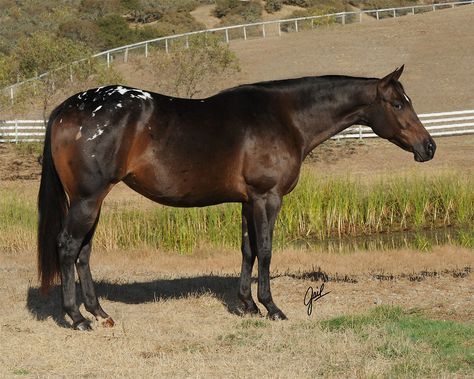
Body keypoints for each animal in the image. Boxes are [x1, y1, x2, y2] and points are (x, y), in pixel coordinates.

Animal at [38, 65, 436, 330]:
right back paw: (76, 317)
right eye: (398, 104)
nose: (429, 147)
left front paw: (246, 305)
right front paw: (271, 308)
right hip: (88, 199)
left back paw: (99, 313)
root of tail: (65, 110)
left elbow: (248, 250)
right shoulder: (267, 198)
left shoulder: (248, 201)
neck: (285, 117)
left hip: (93, 201)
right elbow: (266, 250)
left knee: (84, 252)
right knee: (68, 246)